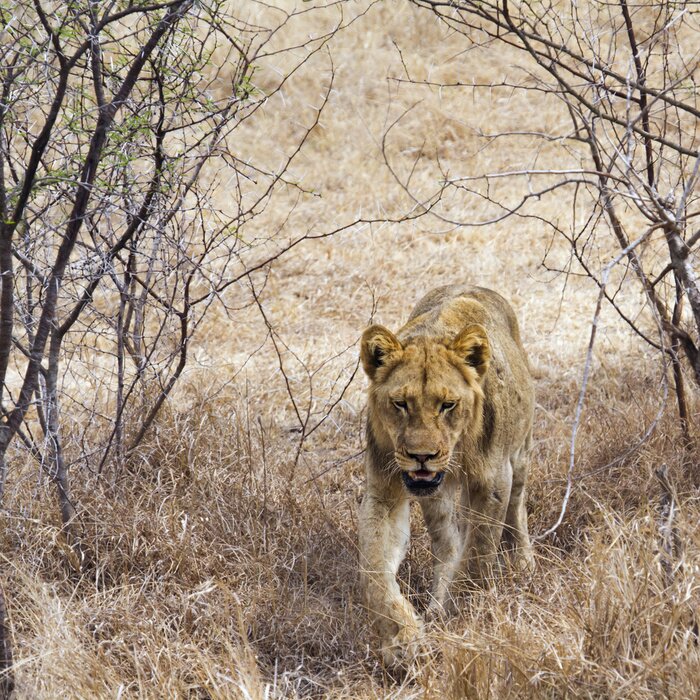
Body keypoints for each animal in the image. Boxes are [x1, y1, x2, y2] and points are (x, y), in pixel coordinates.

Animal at [358, 284, 535, 667]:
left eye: (447, 405)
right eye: (400, 404)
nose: (422, 457)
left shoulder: (494, 481)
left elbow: (478, 557)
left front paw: (460, 619)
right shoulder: (385, 488)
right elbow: (374, 569)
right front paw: (402, 638)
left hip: (520, 455)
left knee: (517, 509)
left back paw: (523, 563)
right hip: (435, 498)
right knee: (448, 542)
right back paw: (437, 602)